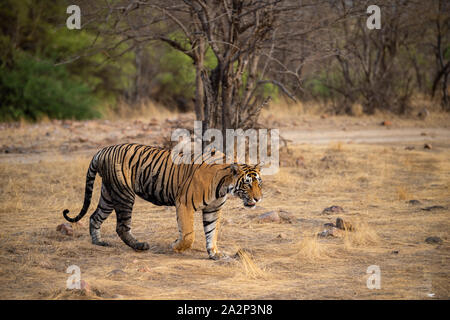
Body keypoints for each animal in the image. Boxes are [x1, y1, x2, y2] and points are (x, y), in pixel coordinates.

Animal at [61, 142, 262, 260]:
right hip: (124, 194)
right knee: (121, 227)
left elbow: (212, 232)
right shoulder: (185, 204)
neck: (224, 186)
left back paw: (98, 242)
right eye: (247, 184)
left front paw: (215, 253)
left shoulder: (213, 209)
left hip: (109, 194)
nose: (258, 198)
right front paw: (175, 245)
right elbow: (188, 235)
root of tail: (102, 150)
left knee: (95, 217)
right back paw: (140, 246)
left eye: (259, 183)